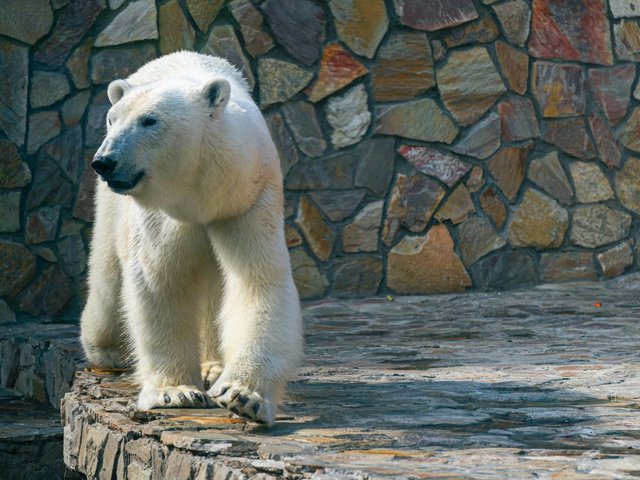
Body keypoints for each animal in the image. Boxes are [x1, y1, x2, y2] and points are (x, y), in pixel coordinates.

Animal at [80, 52, 304, 426]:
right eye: (112, 120)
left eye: (149, 120)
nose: (105, 162)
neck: (202, 193)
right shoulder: (162, 214)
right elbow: (161, 280)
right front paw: (175, 392)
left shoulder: (246, 200)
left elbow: (257, 280)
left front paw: (242, 395)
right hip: (112, 207)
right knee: (109, 275)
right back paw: (107, 349)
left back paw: (213, 366)